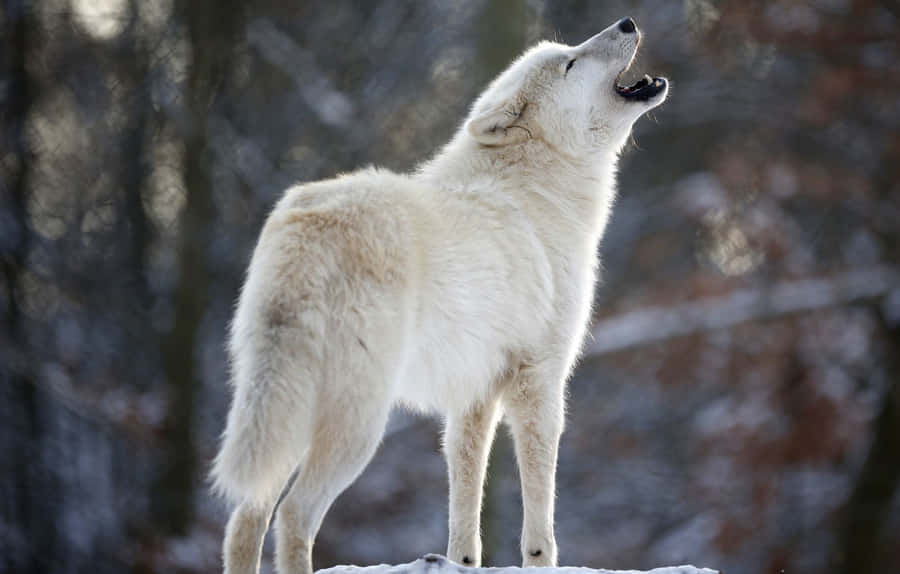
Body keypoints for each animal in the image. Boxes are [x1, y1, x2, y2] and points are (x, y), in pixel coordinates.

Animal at [212, 17, 668, 574]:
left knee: (245, 518)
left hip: (288, 414)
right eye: (571, 63)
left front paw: (461, 562)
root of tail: (307, 225)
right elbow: (540, 515)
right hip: (358, 425)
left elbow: (465, 503)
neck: (539, 190)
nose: (627, 22)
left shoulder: (473, 394)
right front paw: (540, 560)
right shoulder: (540, 379)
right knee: (293, 515)